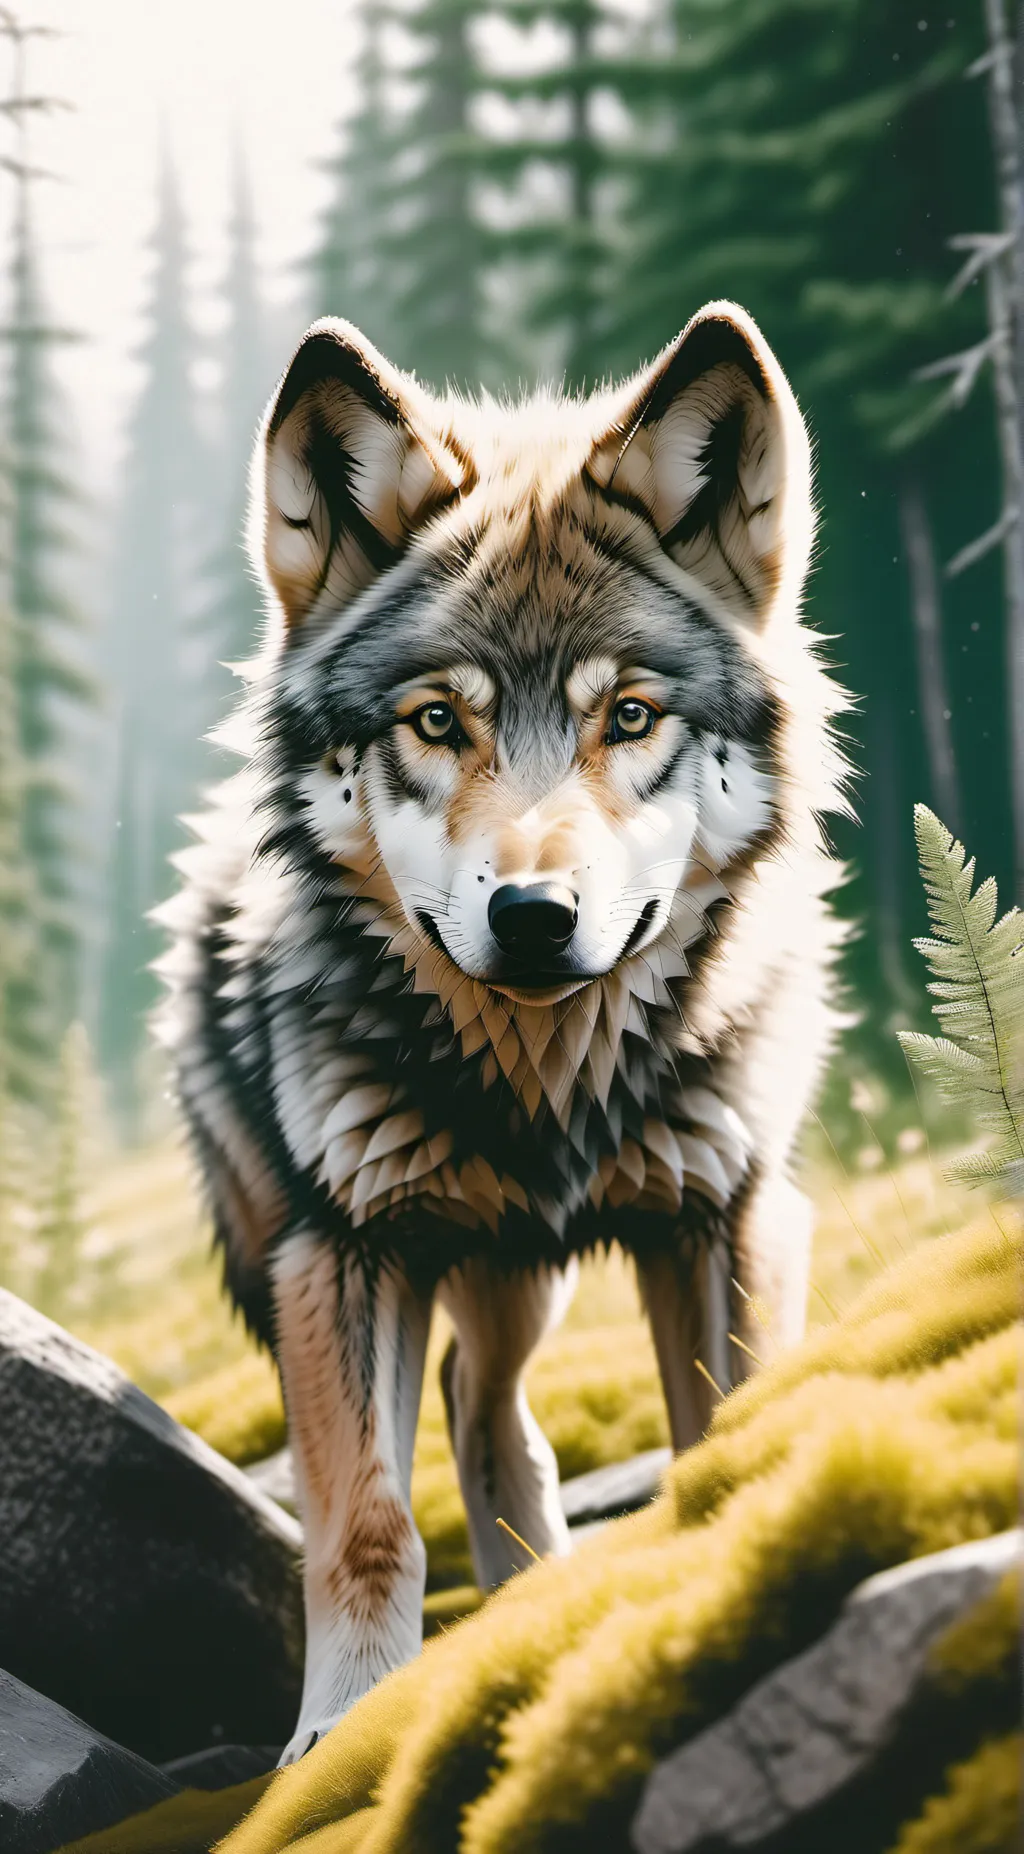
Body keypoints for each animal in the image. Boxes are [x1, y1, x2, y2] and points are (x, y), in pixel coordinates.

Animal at [155, 300, 847, 1764]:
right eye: (437, 721)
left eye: (628, 716)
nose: (532, 916)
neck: (553, 1083)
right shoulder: (342, 1250)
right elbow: (366, 1519)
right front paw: (345, 1728)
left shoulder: (727, 1216)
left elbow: (726, 1435)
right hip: (400, 1248)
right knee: (476, 1425)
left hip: (521, 1273)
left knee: (488, 1416)